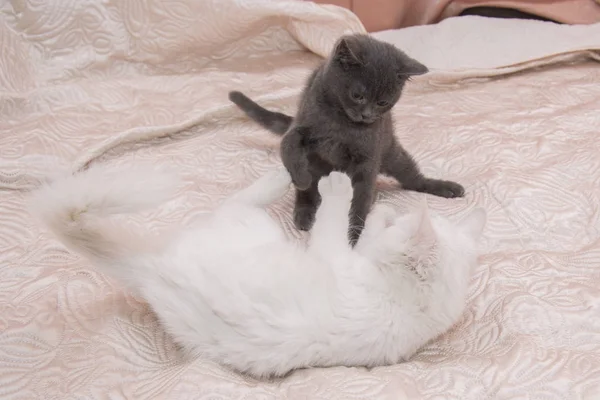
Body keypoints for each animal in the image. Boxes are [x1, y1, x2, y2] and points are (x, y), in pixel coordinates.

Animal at [29, 164, 488, 380]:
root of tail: (152, 270)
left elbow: (337, 222)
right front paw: (382, 212)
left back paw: (285, 179)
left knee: (235, 202)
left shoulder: (333, 253)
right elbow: (358, 229)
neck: (407, 304)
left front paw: (352, 197)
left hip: (249, 226)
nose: (395, 217)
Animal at [230, 33, 464, 244]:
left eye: (382, 102)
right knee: (306, 191)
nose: (367, 115)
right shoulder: (302, 125)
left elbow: (360, 197)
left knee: (412, 178)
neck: (342, 123)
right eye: (357, 95)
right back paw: (304, 212)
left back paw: (445, 187)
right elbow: (289, 145)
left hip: (393, 153)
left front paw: (352, 235)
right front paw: (302, 177)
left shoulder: (368, 158)